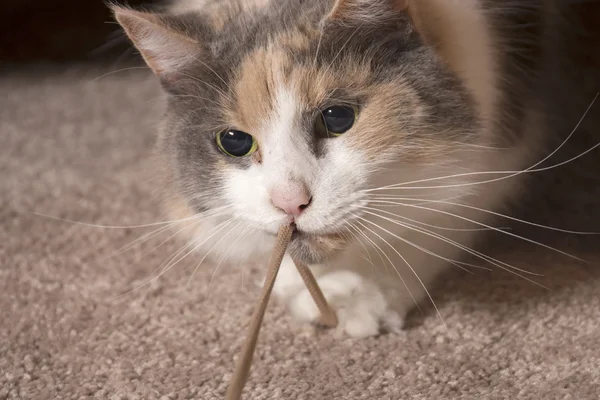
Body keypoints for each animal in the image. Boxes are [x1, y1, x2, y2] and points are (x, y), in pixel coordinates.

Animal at [112, 0, 600, 338]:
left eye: (338, 118)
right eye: (234, 142)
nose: (290, 202)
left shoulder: (512, 130)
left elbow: (442, 214)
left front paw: (357, 294)